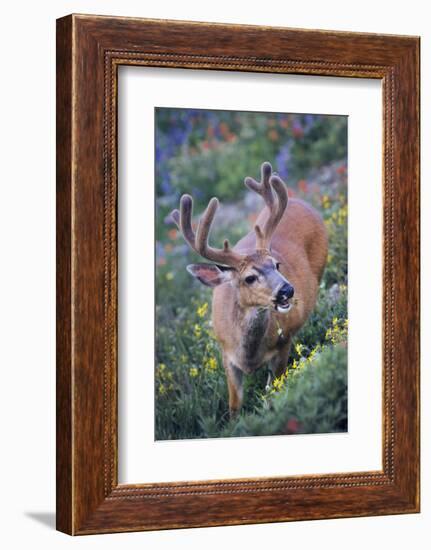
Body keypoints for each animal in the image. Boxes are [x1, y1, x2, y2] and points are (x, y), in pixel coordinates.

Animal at [170, 162, 330, 416]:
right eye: (250, 278)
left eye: (277, 264)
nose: (287, 290)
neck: (249, 356)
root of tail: (300, 202)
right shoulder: (226, 354)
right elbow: (234, 405)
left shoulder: (283, 344)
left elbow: (272, 391)